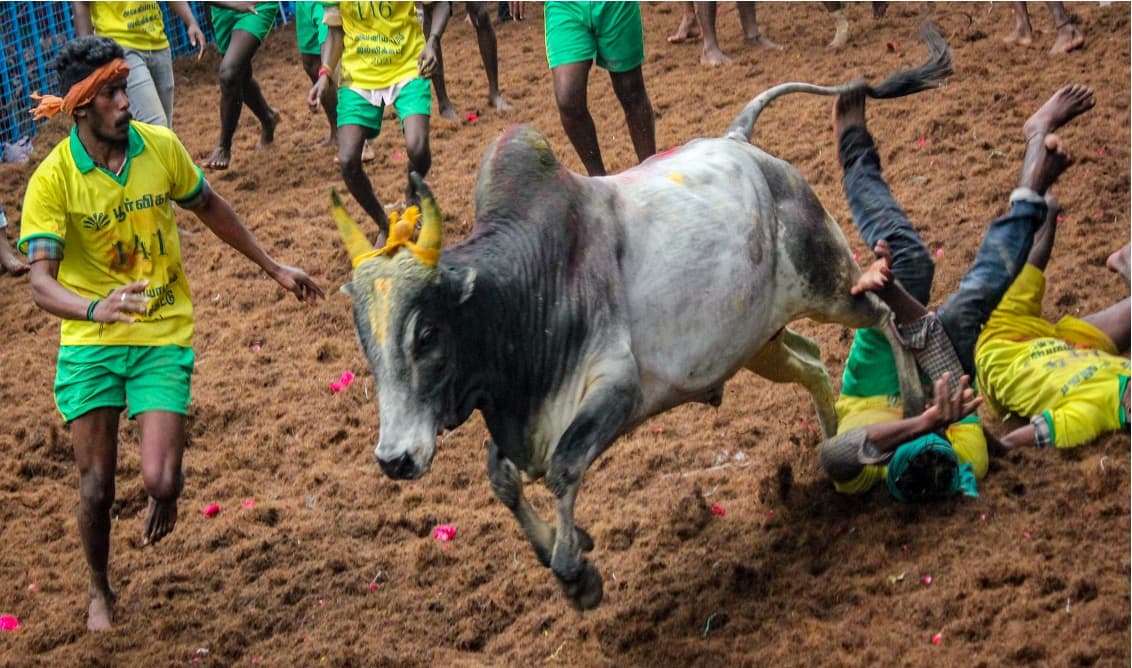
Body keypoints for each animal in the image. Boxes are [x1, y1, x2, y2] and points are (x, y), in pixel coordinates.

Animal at [334, 23, 951, 610]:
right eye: (366, 341)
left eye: (426, 334)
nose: (394, 459)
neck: (526, 292)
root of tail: (741, 143)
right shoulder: (519, 421)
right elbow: (503, 480)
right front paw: (568, 546)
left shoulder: (617, 390)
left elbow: (562, 468)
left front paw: (576, 576)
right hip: (758, 341)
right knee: (814, 361)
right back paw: (833, 444)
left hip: (828, 282)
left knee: (884, 316)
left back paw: (913, 404)